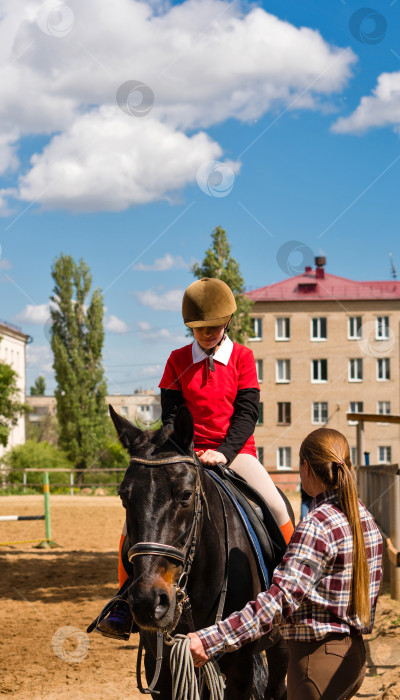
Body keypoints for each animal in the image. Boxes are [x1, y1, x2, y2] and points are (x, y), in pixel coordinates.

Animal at [111, 404, 292, 700]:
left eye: (186, 495)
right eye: (124, 497)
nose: (149, 601)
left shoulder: (239, 669)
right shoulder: (159, 667)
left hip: (279, 644)